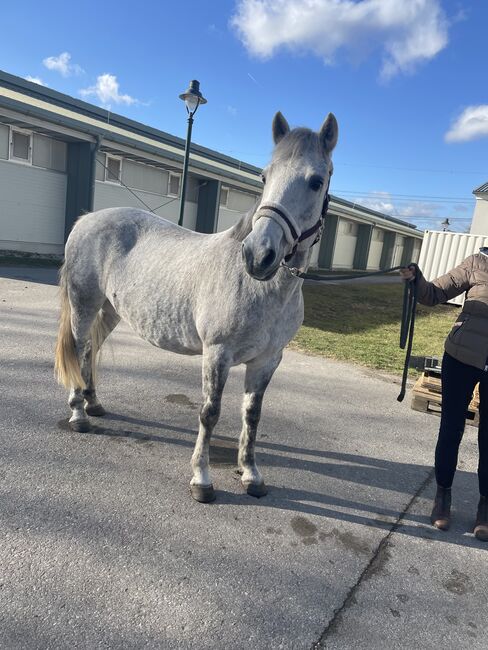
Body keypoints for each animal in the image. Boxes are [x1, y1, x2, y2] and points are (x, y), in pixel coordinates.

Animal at [55, 111, 338, 503]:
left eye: (316, 181)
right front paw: (202, 479)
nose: (258, 255)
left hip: (111, 310)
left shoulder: (268, 360)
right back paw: (79, 414)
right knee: (80, 347)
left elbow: (252, 416)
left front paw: (251, 474)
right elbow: (210, 413)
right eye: (265, 176)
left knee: (90, 350)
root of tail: (87, 218)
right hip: (84, 304)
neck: (262, 289)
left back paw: (93, 404)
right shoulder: (216, 354)